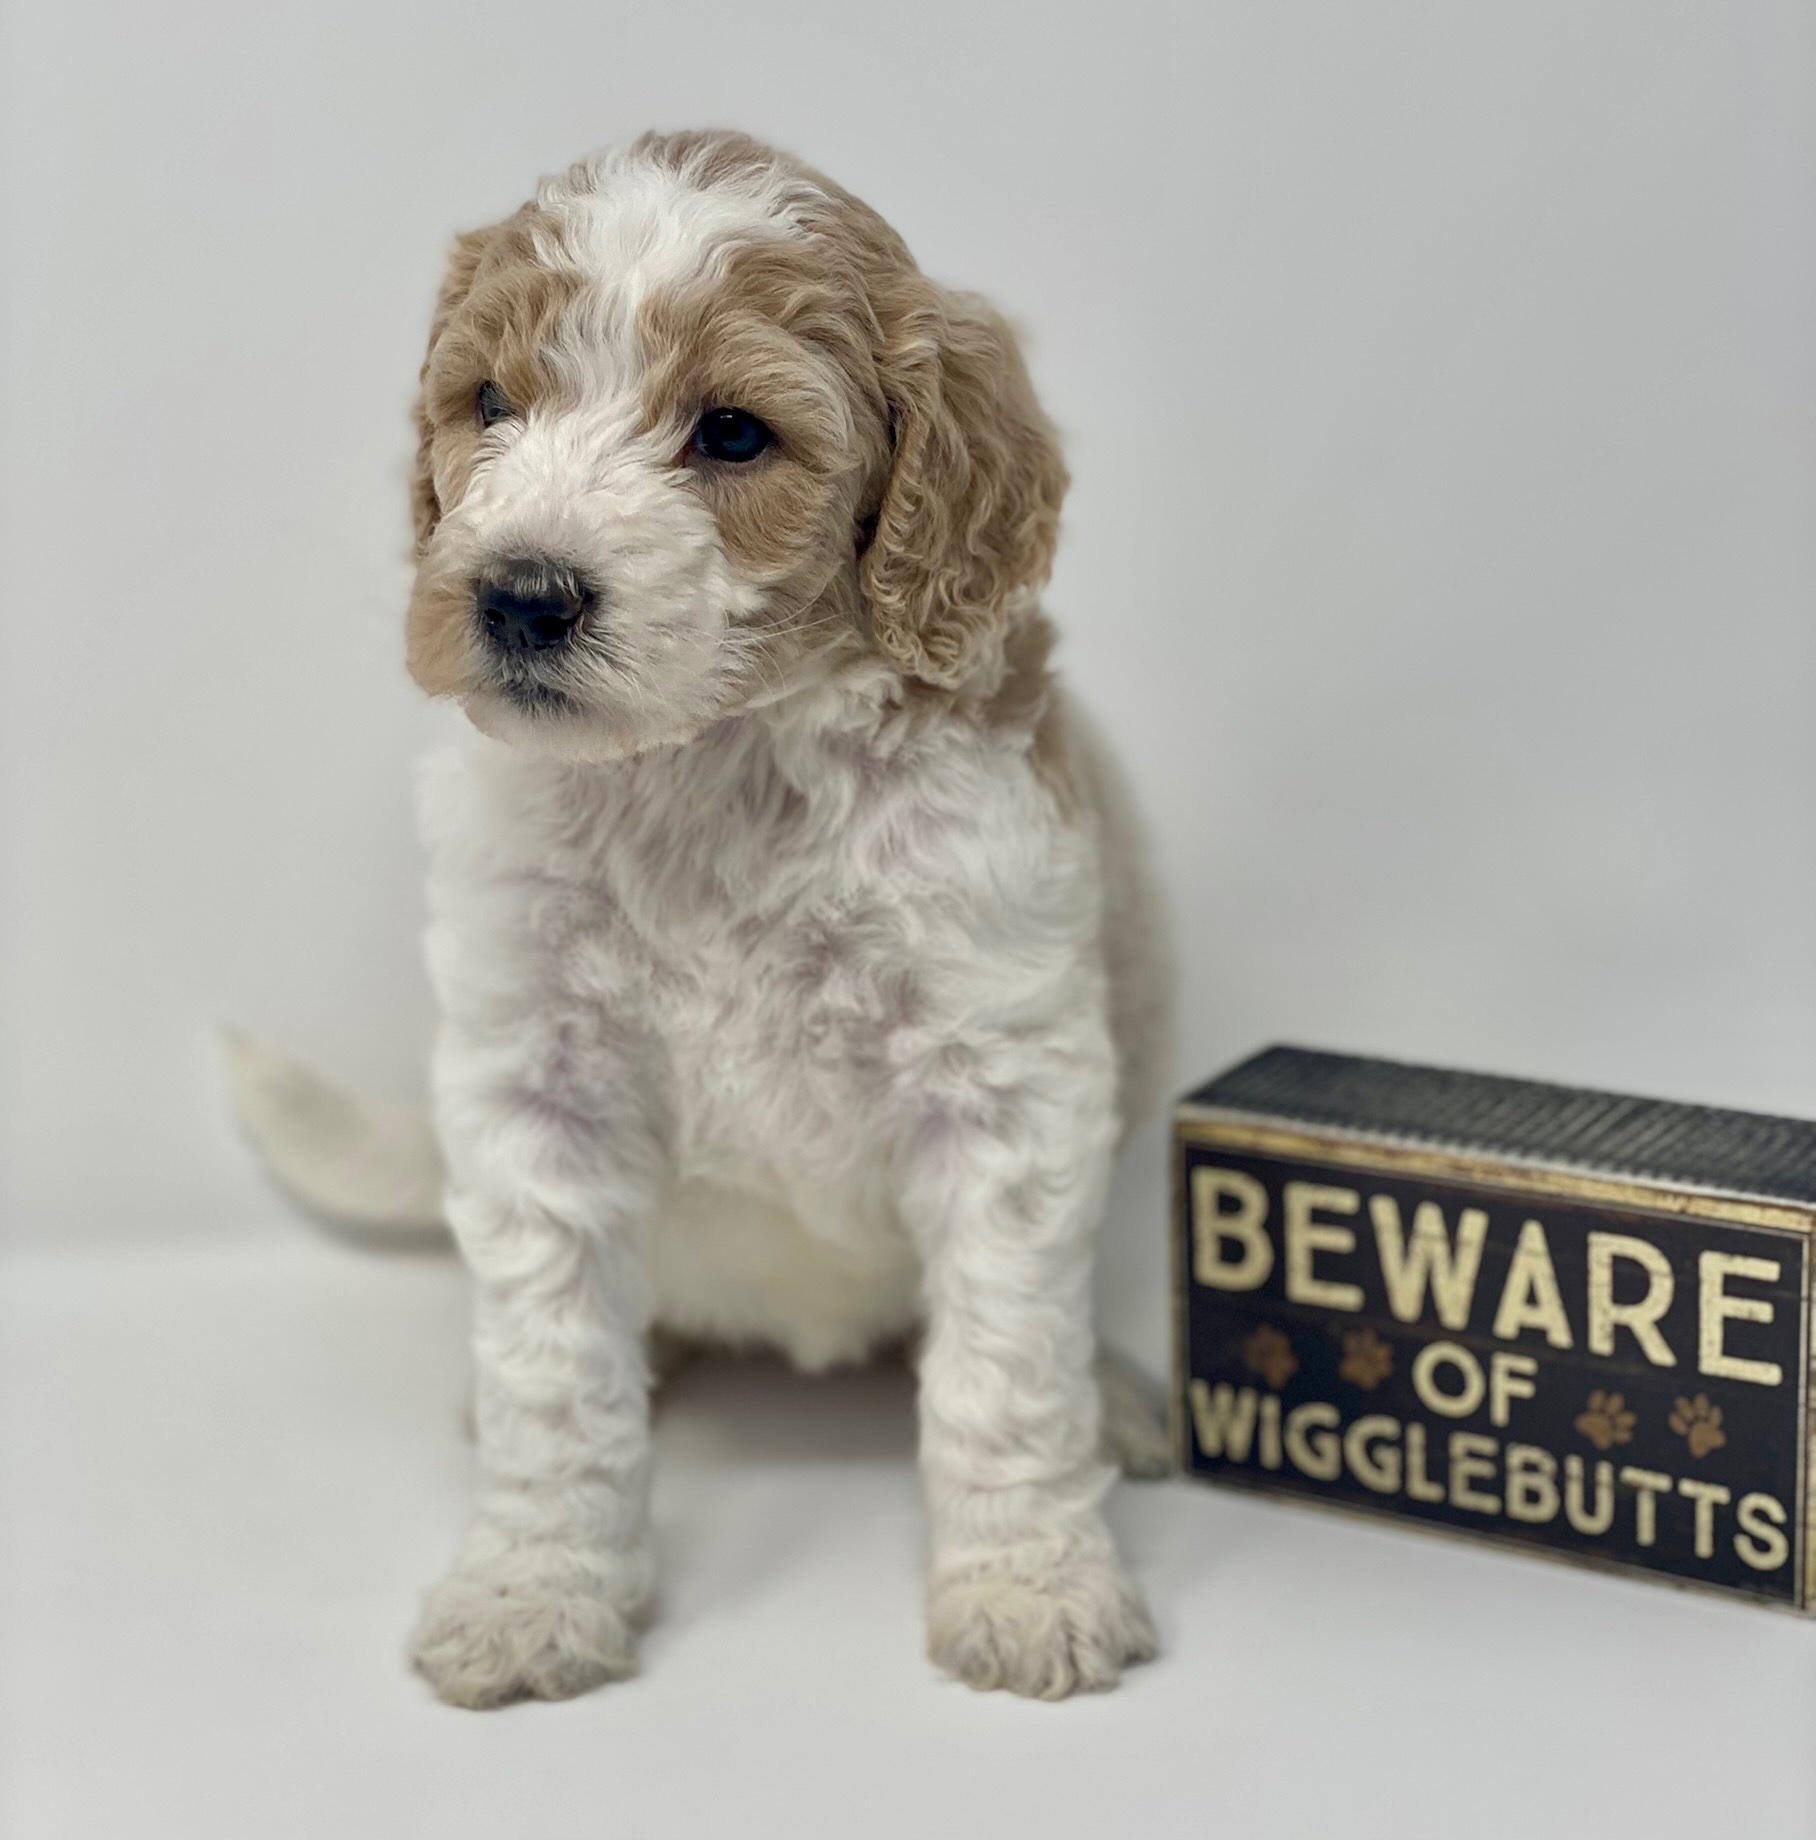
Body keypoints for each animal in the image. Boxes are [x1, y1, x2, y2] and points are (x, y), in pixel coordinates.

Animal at [230, 129, 1172, 1706]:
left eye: (732, 436)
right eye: (491, 404)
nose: (520, 596)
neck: (714, 763)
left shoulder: (1003, 1073)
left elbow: (1002, 1366)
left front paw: (1028, 1583)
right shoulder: (534, 1084)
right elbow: (555, 1372)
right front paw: (531, 1590)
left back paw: (1118, 1398)